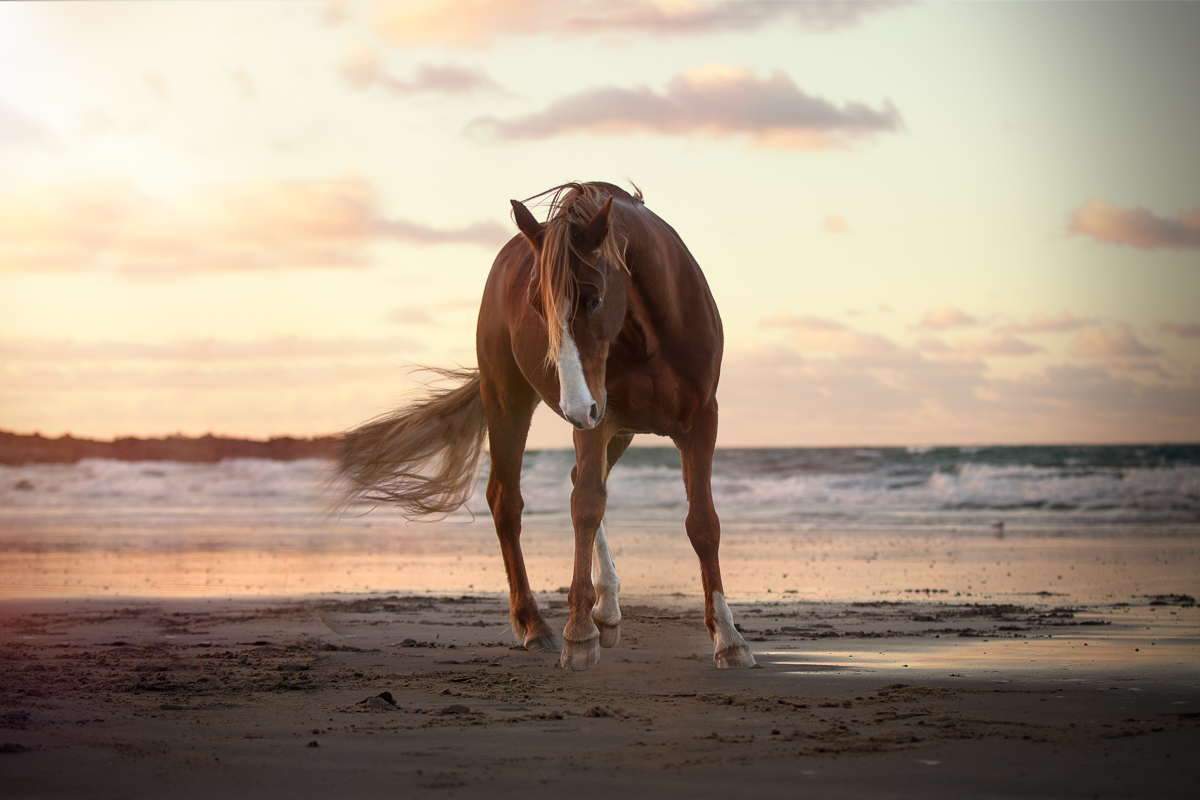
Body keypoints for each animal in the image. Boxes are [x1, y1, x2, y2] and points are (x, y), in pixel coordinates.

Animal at [336, 181, 754, 671]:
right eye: (538, 305)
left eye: (595, 297)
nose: (574, 407)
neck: (651, 332)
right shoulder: (598, 419)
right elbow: (586, 507)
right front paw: (579, 633)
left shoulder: (699, 420)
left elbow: (703, 523)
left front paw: (728, 637)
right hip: (509, 400)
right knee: (507, 501)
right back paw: (536, 624)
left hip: (612, 424)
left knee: (575, 480)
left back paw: (607, 606)